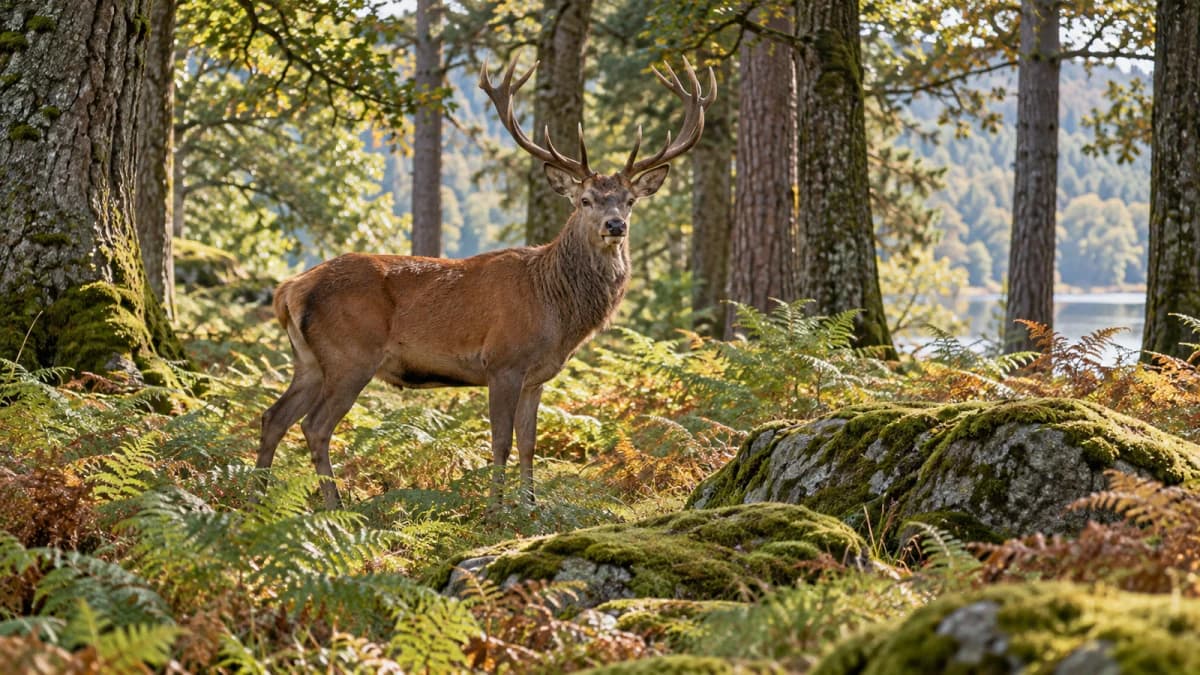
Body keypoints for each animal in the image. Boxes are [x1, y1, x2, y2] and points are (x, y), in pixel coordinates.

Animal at [256, 54, 715, 509]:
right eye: (585, 200)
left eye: (630, 201)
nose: (615, 225)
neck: (557, 310)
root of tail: (289, 289)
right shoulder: (502, 362)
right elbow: (500, 442)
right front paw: (496, 509)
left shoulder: (537, 377)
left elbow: (529, 443)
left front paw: (530, 506)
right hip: (349, 355)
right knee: (315, 425)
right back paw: (334, 507)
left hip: (310, 360)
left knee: (273, 416)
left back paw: (254, 498)